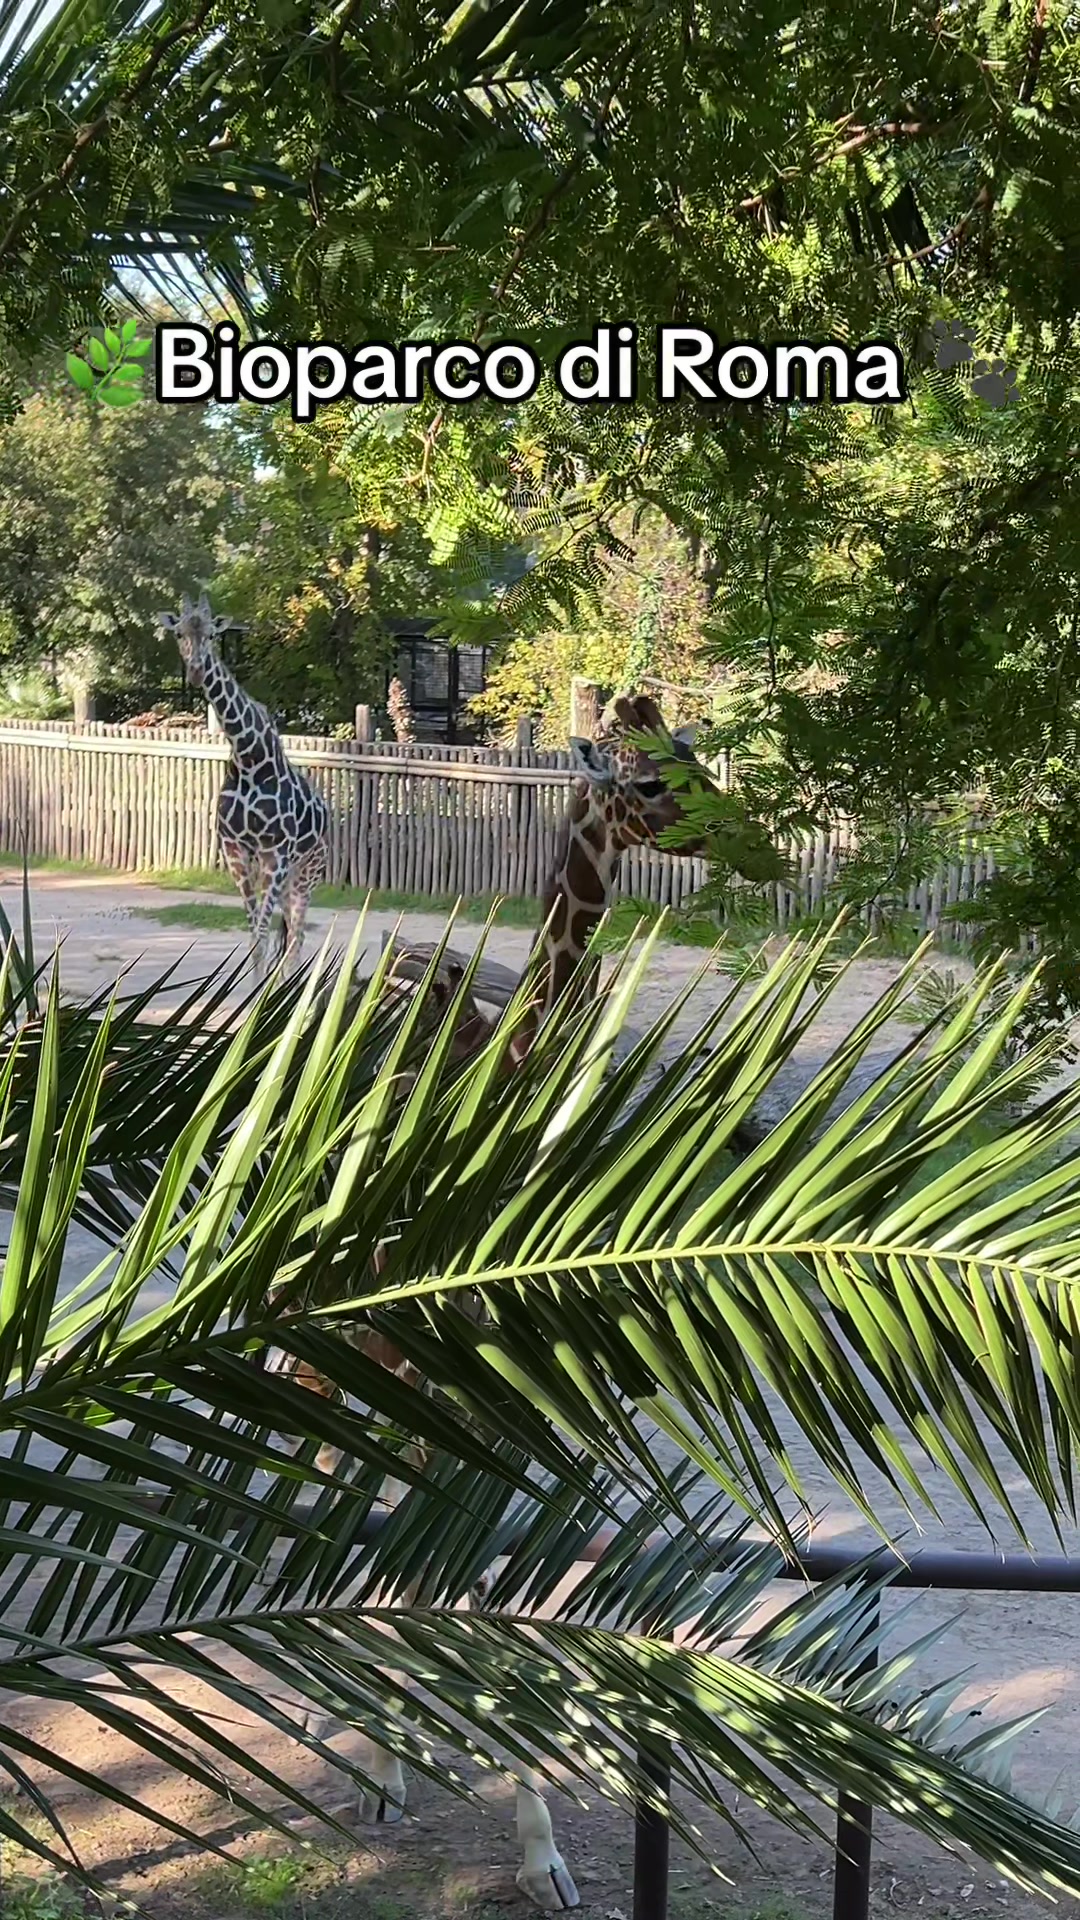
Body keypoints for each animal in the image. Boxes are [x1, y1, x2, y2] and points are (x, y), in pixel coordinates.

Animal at [153, 591, 326, 983]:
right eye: (179, 633)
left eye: (212, 635)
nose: (196, 670)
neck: (249, 759)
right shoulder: (236, 849)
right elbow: (254, 935)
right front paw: (253, 991)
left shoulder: (277, 851)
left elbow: (262, 929)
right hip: (278, 873)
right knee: (287, 933)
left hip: (307, 871)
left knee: (297, 935)